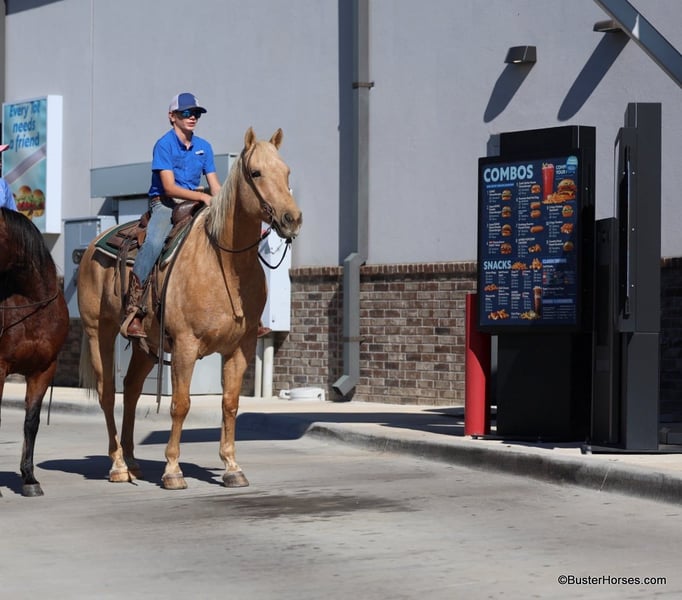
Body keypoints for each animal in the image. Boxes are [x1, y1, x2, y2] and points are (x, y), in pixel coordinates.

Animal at [77, 127, 302, 489]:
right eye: (256, 173)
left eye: (286, 172)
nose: (292, 219)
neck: (223, 262)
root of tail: (91, 248)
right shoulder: (185, 345)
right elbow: (180, 404)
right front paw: (173, 470)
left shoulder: (240, 347)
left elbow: (230, 404)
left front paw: (232, 467)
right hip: (100, 332)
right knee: (107, 393)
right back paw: (118, 465)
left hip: (145, 345)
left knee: (131, 390)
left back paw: (132, 461)